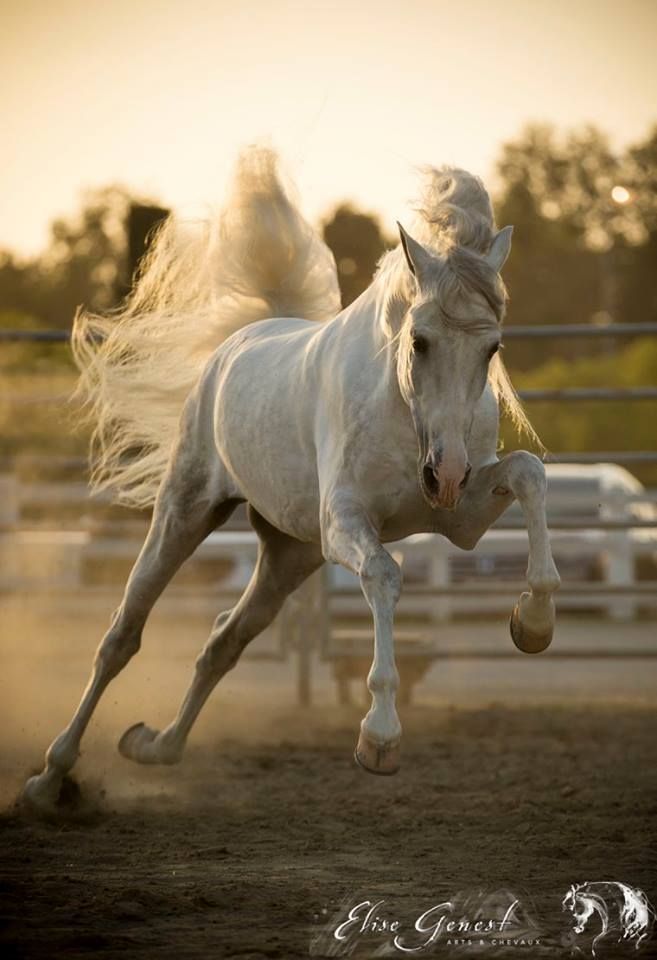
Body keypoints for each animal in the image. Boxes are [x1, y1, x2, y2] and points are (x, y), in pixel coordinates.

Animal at [24, 146, 560, 808]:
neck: (399, 410)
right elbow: (384, 576)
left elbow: (529, 474)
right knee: (122, 636)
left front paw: (532, 624)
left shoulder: (458, 518)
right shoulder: (345, 523)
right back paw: (49, 777)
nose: (447, 472)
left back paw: (154, 745)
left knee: (223, 640)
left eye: (492, 348)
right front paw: (379, 738)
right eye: (420, 340)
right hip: (184, 513)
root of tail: (239, 342)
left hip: (289, 554)